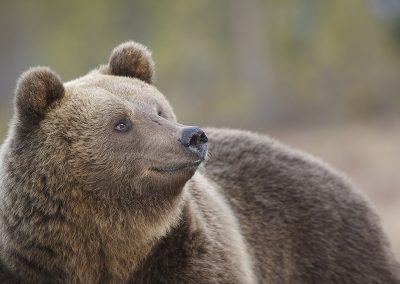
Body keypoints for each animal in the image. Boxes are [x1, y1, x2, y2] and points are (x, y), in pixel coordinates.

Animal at [0, 41, 398, 282]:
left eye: (159, 109)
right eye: (122, 123)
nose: (192, 137)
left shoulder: (188, 252)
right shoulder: (25, 262)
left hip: (332, 251)